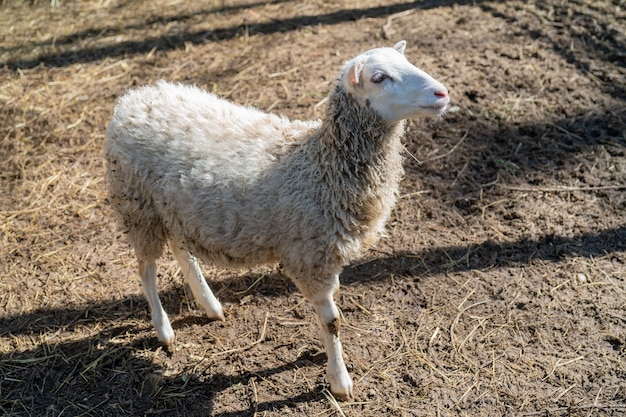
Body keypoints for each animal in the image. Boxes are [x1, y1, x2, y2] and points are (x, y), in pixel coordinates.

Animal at [105, 39, 448, 400]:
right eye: (379, 77)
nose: (442, 93)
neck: (321, 165)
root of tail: (133, 97)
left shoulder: (325, 256)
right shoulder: (309, 259)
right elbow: (333, 321)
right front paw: (339, 381)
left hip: (175, 209)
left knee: (182, 251)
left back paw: (210, 305)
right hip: (137, 205)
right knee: (145, 269)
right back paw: (164, 329)